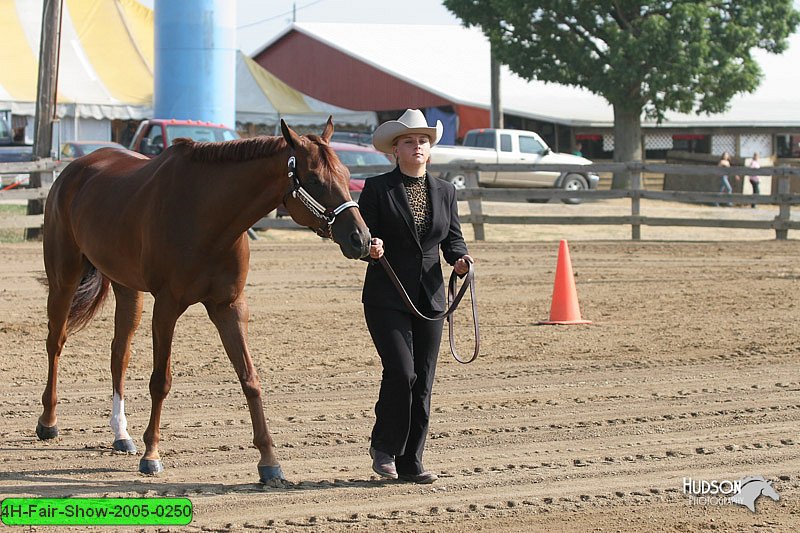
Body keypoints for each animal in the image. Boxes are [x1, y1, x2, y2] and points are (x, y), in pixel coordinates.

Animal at [39, 118, 370, 480]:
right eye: (314, 180)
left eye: (344, 174)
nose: (361, 238)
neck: (208, 214)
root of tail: (74, 169)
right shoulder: (167, 306)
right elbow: (161, 381)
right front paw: (152, 454)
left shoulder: (230, 307)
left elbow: (250, 379)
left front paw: (269, 461)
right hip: (64, 279)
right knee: (56, 342)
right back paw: (48, 422)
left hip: (128, 289)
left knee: (119, 354)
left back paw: (121, 433)